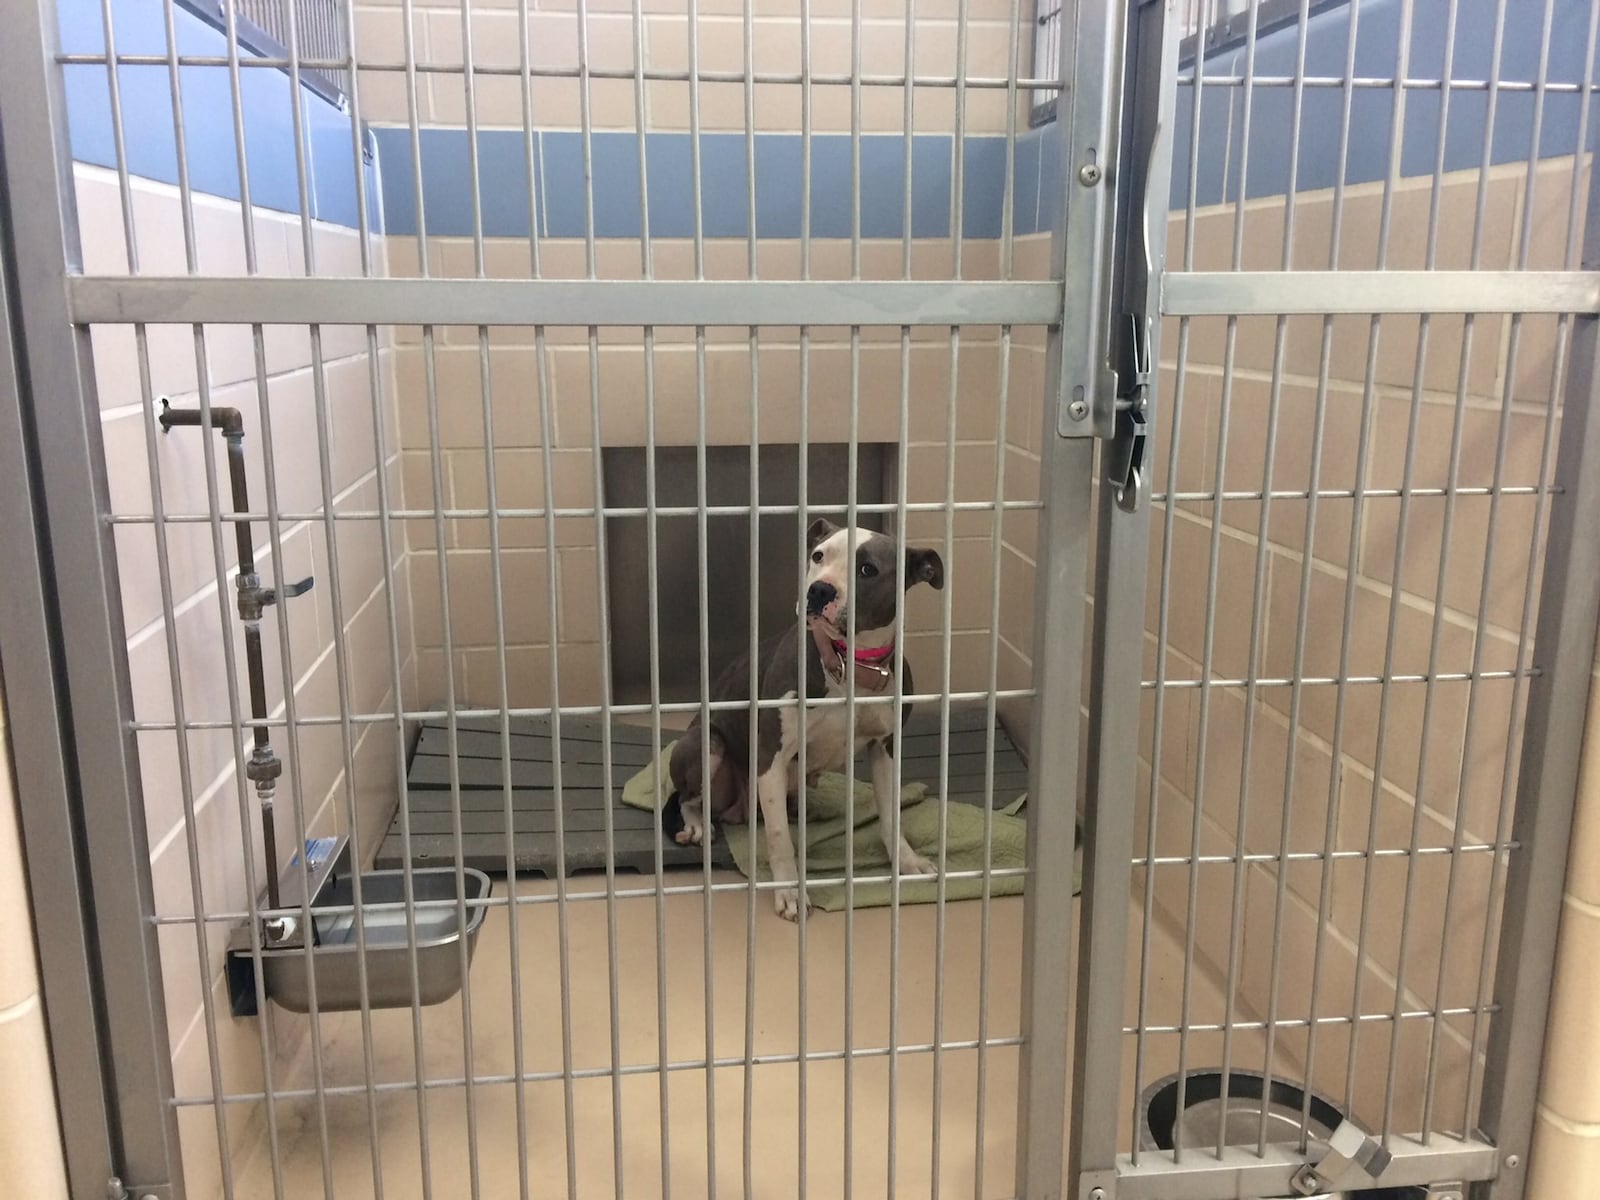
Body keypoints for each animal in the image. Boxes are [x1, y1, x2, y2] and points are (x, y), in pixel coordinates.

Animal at [665, 518, 947, 921]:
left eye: (867, 569)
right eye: (818, 555)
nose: (818, 590)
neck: (849, 664)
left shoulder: (885, 749)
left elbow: (892, 817)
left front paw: (906, 862)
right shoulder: (771, 756)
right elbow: (780, 839)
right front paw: (789, 892)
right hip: (705, 746)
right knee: (689, 798)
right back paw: (697, 826)